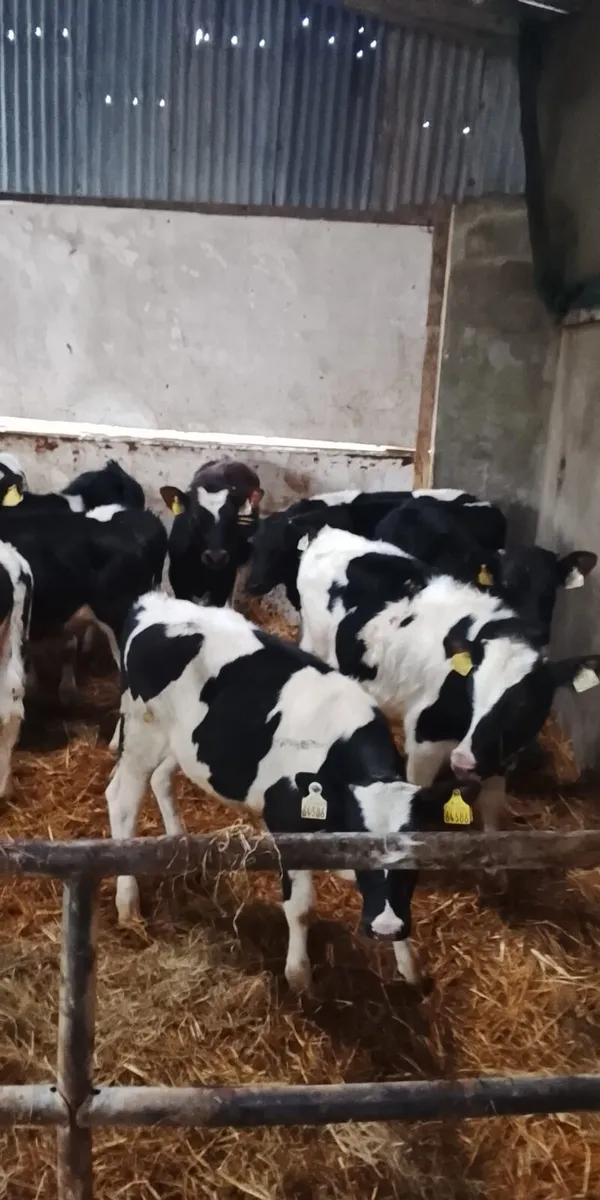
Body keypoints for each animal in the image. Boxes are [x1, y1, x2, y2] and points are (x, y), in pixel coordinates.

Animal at [106, 592, 478, 990]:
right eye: (361, 846)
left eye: (413, 855)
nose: (386, 929)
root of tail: (154, 603)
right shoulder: (286, 823)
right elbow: (300, 908)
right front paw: (299, 976)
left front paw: (410, 966)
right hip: (142, 732)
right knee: (122, 802)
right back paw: (128, 905)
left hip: (186, 744)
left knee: (160, 779)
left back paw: (179, 846)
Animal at [295, 526, 600, 833]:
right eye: (471, 690)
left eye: (523, 705)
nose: (463, 760)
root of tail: (328, 531)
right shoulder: (424, 740)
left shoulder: (498, 755)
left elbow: (492, 814)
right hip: (312, 643)